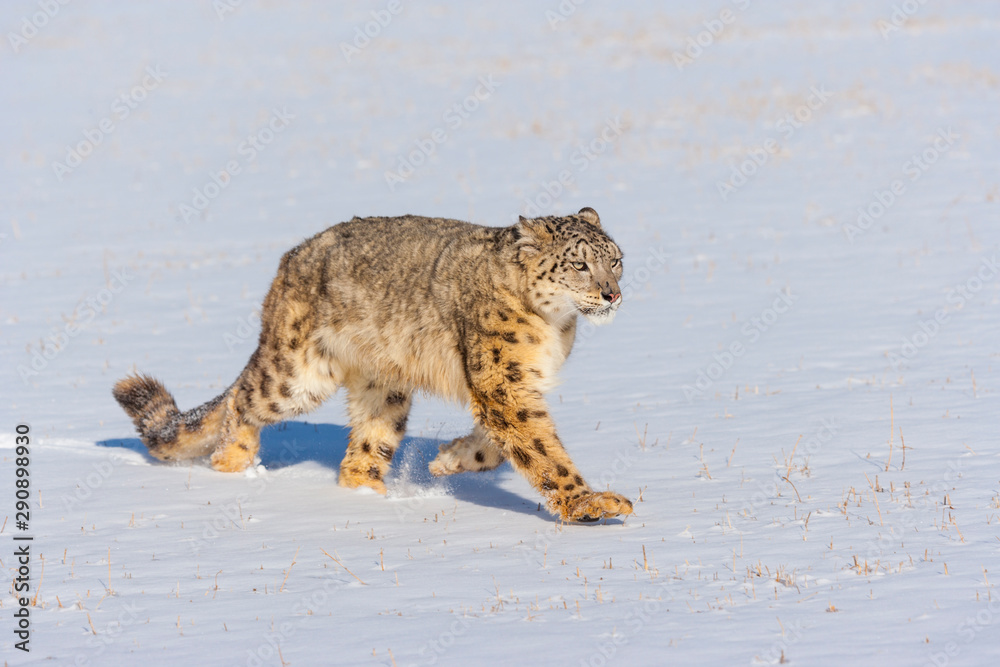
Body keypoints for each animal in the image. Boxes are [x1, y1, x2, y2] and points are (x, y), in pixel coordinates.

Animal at [112, 207, 633, 522]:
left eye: (616, 260)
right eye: (580, 265)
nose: (612, 294)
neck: (555, 327)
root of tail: (290, 260)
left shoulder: (515, 384)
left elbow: (510, 442)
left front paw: (449, 458)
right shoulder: (500, 383)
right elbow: (540, 448)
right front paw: (590, 503)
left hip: (385, 387)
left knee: (366, 443)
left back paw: (369, 497)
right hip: (297, 374)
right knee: (242, 399)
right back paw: (234, 462)